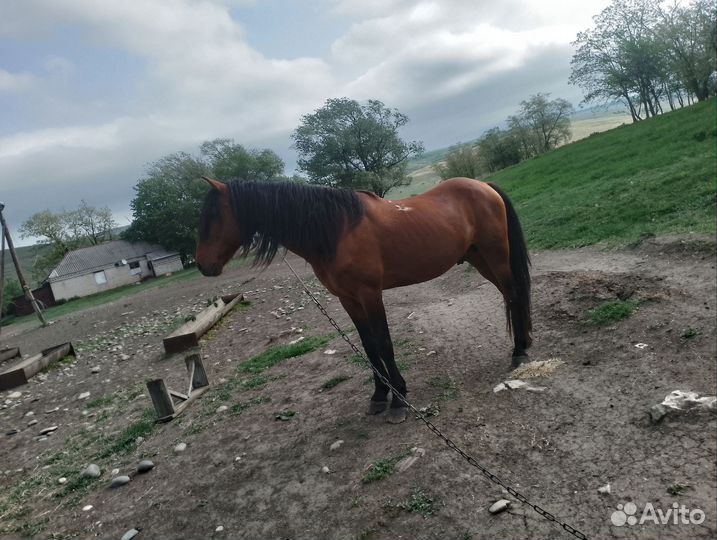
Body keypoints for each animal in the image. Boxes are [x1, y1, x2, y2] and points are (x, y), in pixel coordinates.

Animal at [196, 176, 531, 424]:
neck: (336, 230)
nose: (202, 265)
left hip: (495, 255)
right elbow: (368, 345)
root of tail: (484, 185)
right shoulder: (348, 299)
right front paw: (379, 396)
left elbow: (384, 343)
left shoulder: (370, 294)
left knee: (514, 294)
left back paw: (519, 351)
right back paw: (524, 343)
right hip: (479, 258)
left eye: (214, 214)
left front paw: (398, 400)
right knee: (509, 295)